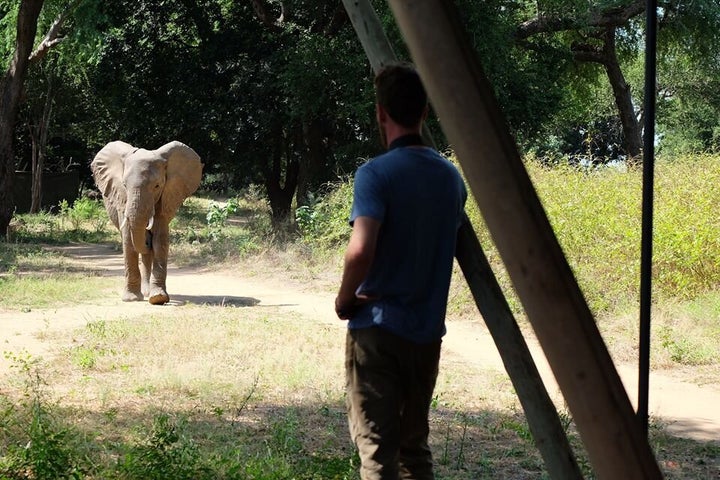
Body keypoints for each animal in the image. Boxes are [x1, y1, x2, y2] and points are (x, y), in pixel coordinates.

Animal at [90, 140, 202, 304]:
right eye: (124, 185)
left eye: (157, 186)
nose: (147, 240)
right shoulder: (122, 200)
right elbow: (128, 240)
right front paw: (131, 299)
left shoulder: (166, 196)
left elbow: (160, 240)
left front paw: (158, 298)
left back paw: (149, 293)